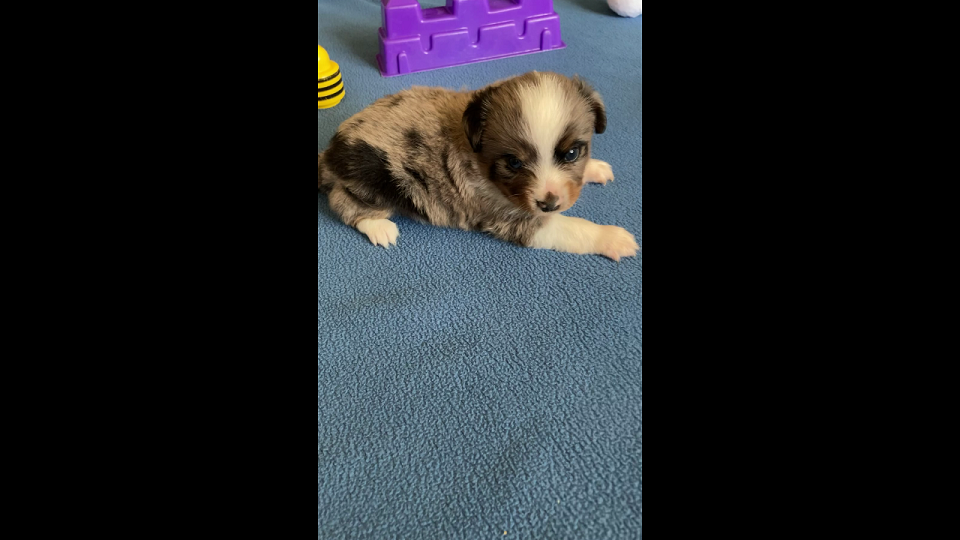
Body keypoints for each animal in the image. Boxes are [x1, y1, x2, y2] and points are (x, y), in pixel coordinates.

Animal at [318, 71, 640, 262]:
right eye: (513, 162)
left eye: (572, 153)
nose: (549, 204)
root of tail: (329, 152)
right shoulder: (512, 217)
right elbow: (572, 228)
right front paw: (612, 238)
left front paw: (595, 168)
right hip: (375, 181)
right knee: (342, 202)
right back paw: (379, 228)